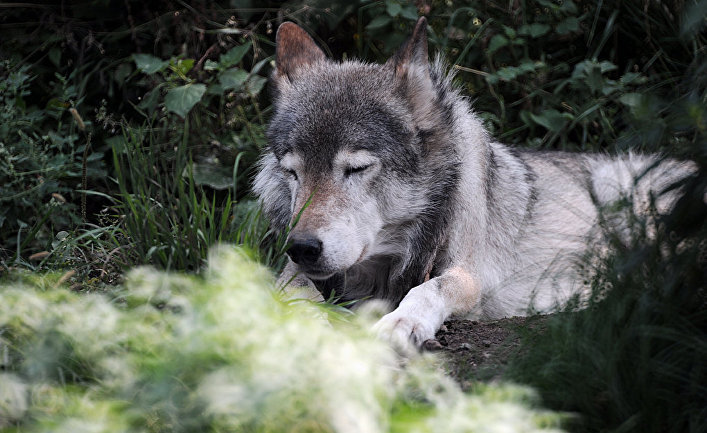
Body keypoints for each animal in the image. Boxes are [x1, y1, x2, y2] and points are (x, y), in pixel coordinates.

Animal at [253, 16, 692, 348]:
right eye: (293, 172)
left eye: (357, 169)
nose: (302, 247)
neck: (388, 258)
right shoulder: (295, 272)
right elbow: (289, 293)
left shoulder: (466, 274)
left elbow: (427, 289)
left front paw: (401, 322)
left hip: (619, 187)